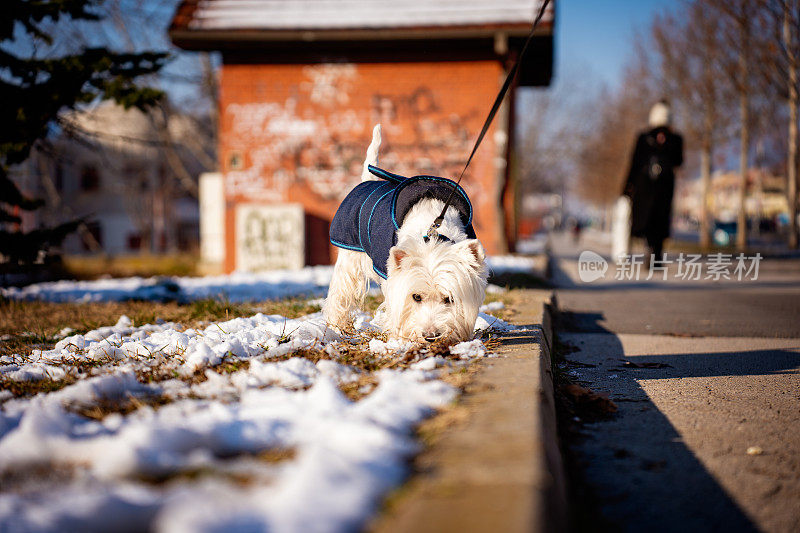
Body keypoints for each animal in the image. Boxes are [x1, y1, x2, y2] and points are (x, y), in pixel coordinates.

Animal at [324, 123, 488, 340]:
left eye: (449, 299)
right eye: (416, 297)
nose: (430, 336)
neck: (432, 235)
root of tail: (367, 180)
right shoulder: (390, 277)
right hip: (349, 254)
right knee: (341, 291)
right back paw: (337, 326)